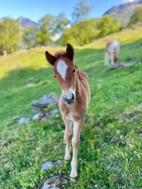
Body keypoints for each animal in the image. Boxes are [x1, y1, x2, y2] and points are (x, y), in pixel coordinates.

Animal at [45, 43, 90, 180]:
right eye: (55, 76)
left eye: (73, 70)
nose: (69, 98)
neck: (71, 107)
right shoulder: (65, 117)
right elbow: (68, 134)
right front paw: (66, 155)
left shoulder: (79, 119)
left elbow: (75, 141)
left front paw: (73, 171)